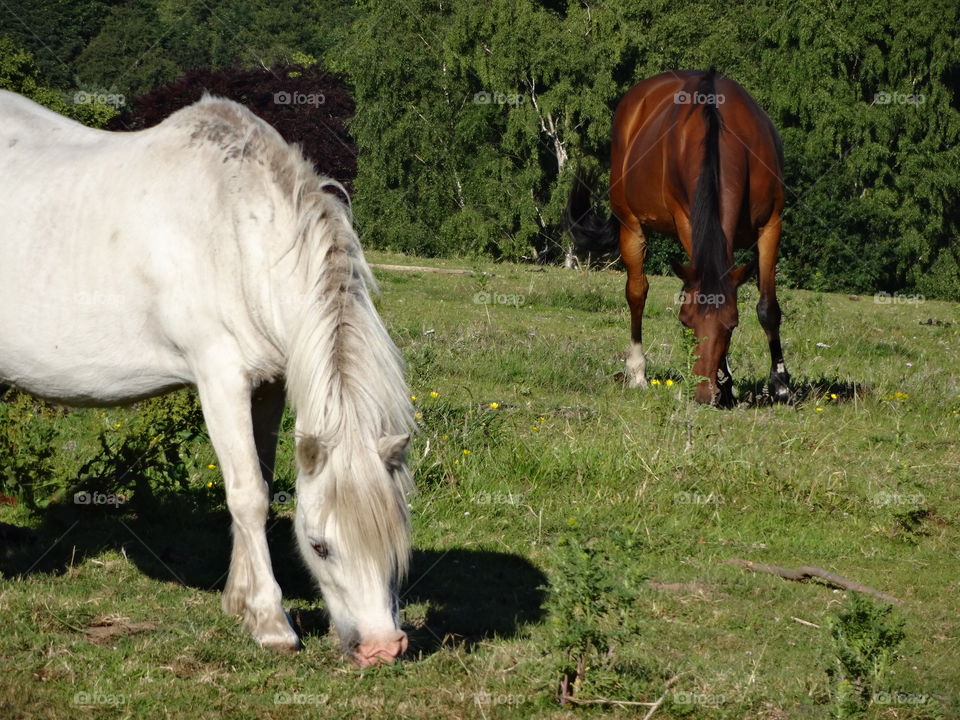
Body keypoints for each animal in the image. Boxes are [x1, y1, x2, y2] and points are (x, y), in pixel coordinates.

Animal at [0, 91, 412, 668]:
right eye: (319, 545)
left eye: (397, 539)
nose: (382, 647)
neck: (237, 233)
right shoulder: (220, 379)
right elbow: (248, 495)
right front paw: (270, 622)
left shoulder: (269, 386)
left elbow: (260, 481)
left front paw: (239, 601)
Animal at [568, 68, 788, 408]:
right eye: (685, 322)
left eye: (732, 324)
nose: (703, 393)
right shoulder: (687, 222)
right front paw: (725, 381)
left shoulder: (771, 225)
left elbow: (768, 307)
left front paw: (779, 384)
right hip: (630, 225)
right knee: (637, 293)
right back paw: (638, 372)